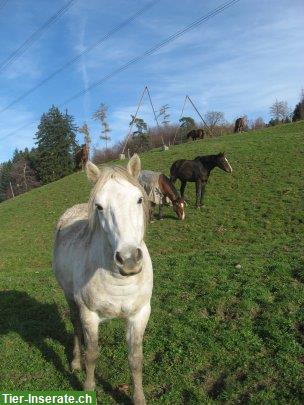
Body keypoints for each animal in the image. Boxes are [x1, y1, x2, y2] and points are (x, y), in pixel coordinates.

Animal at [52, 153, 152, 402]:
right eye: (99, 206)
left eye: (139, 199)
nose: (129, 259)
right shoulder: (89, 314)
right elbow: (92, 354)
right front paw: (88, 389)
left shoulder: (140, 314)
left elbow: (135, 359)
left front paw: (139, 398)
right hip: (69, 297)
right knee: (76, 327)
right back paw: (75, 362)